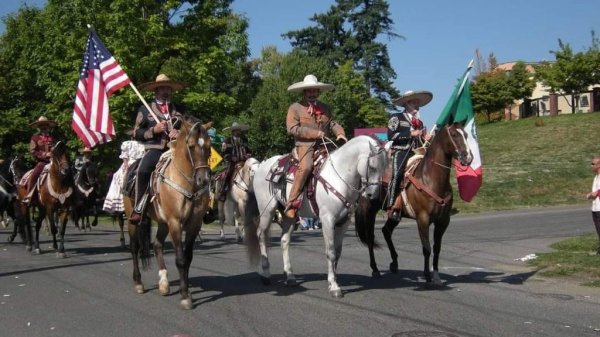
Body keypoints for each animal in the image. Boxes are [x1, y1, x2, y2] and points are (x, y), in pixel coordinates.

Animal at [122, 118, 211, 310]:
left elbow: (188, 258)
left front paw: (186, 292)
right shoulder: (175, 223)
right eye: (191, 146)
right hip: (133, 219)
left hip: (162, 223)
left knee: (157, 245)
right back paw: (138, 283)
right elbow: (180, 259)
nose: (204, 180)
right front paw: (185, 296)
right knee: (134, 247)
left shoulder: (194, 224)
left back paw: (164, 284)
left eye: (209, 146)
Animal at [244, 134, 390, 296]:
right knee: (261, 235)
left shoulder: (344, 222)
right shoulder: (327, 220)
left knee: (284, 240)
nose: (373, 195)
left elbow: (338, 252)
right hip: (267, 210)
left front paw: (334, 279)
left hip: (289, 215)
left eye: (385, 167)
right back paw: (265, 274)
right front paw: (334, 286)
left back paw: (290, 276)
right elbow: (331, 252)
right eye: (372, 167)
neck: (339, 177)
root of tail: (261, 166)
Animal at [356, 122, 474, 284]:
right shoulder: (423, 219)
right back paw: (375, 269)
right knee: (370, 237)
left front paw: (436, 275)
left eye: (466, 135)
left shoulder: (443, 221)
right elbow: (426, 248)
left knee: (386, 231)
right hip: (369, 211)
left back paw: (394, 263)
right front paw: (427, 276)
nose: (468, 157)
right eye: (455, 135)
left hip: (395, 215)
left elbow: (437, 248)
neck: (430, 179)